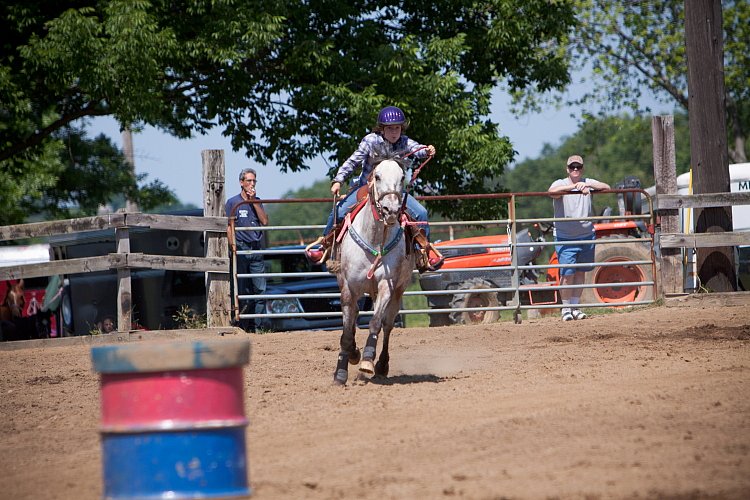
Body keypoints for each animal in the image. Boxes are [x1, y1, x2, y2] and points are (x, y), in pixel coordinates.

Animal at [334, 154, 418, 384]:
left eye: (402, 178)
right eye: (377, 176)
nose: (391, 211)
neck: (375, 238)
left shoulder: (386, 286)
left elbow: (375, 322)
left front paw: (367, 360)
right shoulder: (348, 288)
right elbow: (347, 330)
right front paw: (341, 370)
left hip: (398, 291)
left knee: (387, 324)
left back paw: (381, 365)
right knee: (354, 316)